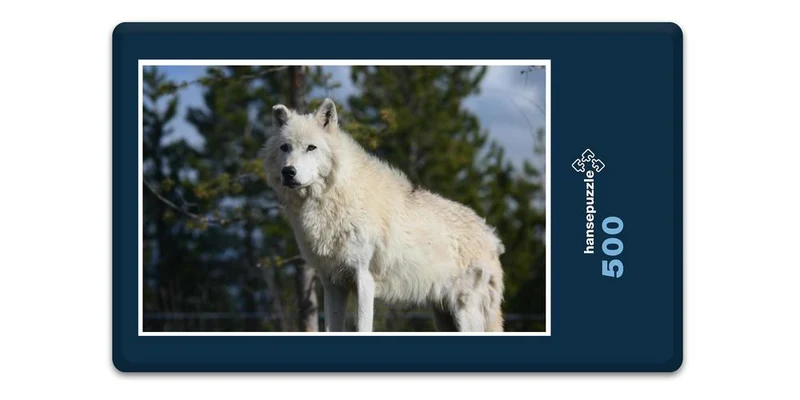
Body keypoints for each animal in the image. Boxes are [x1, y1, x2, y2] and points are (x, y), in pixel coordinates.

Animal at [261, 98, 505, 332]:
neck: (334, 197)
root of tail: (491, 236)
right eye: (285, 147)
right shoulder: (332, 284)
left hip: (465, 312)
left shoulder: (364, 279)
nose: (288, 172)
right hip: (443, 317)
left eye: (311, 147)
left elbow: (362, 328)